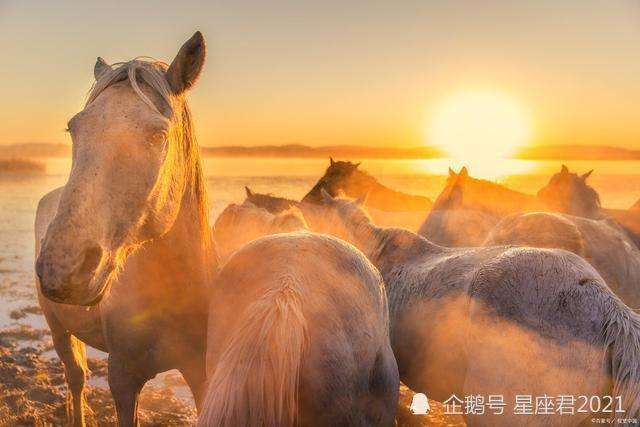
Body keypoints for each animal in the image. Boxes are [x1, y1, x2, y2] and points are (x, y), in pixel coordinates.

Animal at [35, 31, 214, 426]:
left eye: (158, 135)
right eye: (73, 128)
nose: (62, 268)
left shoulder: (201, 372)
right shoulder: (123, 379)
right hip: (57, 327)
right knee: (76, 378)